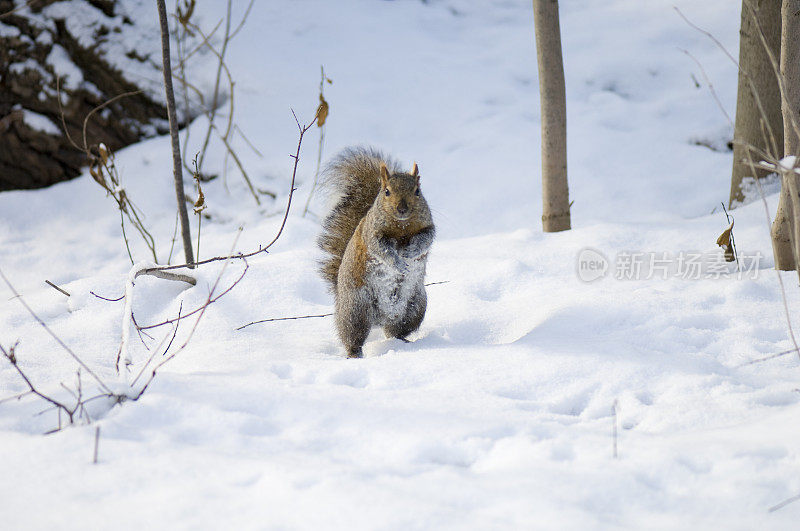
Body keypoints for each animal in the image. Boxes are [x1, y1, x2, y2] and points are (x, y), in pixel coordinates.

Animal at [318, 148, 434, 360]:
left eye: (417, 191)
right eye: (386, 191)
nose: (402, 208)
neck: (402, 227)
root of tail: (381, 320)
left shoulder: (428, 226)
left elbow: (426, 239)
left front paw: (411, 251)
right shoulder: (371, 233)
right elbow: (382, 249)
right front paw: (398, 262)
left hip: (415, 307)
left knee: (396, 331)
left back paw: (404, 343)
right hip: (356, 309)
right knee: (353, 336)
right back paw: (355, 354)